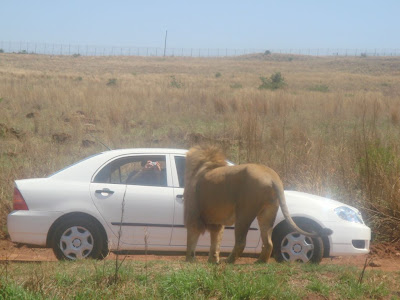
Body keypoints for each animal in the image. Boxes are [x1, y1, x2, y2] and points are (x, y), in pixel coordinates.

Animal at [184, 146, 332, 264]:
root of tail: (272, 177)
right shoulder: (216, 223)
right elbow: (216, 241)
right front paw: (212, 260)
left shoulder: (193, 213)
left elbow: (192, 237)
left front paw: (190, 259)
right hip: (268, 212)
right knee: (269, 242)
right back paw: (260, 261)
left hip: (244, 212)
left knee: (241, 242)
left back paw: (229, 261)